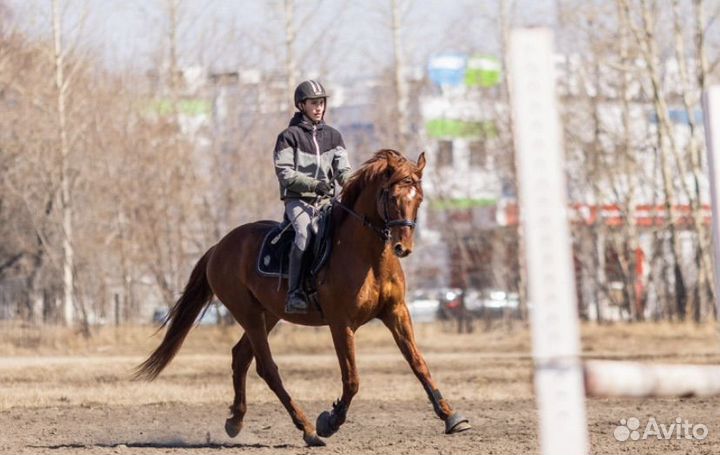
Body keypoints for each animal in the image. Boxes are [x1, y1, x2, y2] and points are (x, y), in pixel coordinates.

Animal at [134, 149, 471, 446]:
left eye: (419, 199)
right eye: (391, 197)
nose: (403, 247)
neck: (368, 257)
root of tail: (220, 246)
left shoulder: (396, 312)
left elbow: (418, 363)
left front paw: (451, 417)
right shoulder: (341, 324)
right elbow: (352, 378)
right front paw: (330, 421)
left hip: (269, 315)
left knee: (241, 356)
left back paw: (236, 421)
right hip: (249, 315)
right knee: (267, 368)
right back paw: (308, 429)